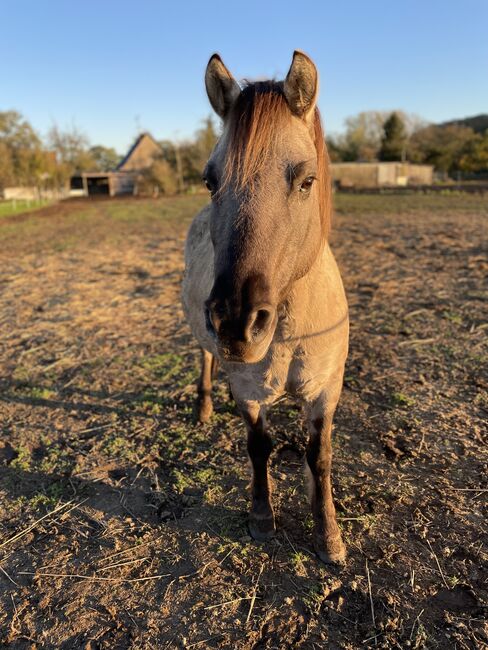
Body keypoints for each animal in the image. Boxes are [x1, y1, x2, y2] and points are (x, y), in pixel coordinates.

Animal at [181, 50, 348, 560]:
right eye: (209, 180)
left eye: (306, 180)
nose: (236, 323)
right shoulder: (248, 391)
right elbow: (259, 447)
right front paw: (261, 518)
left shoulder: (326, 391)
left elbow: (320, 456)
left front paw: (328, 535)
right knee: (205, 358)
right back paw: (203, 408)